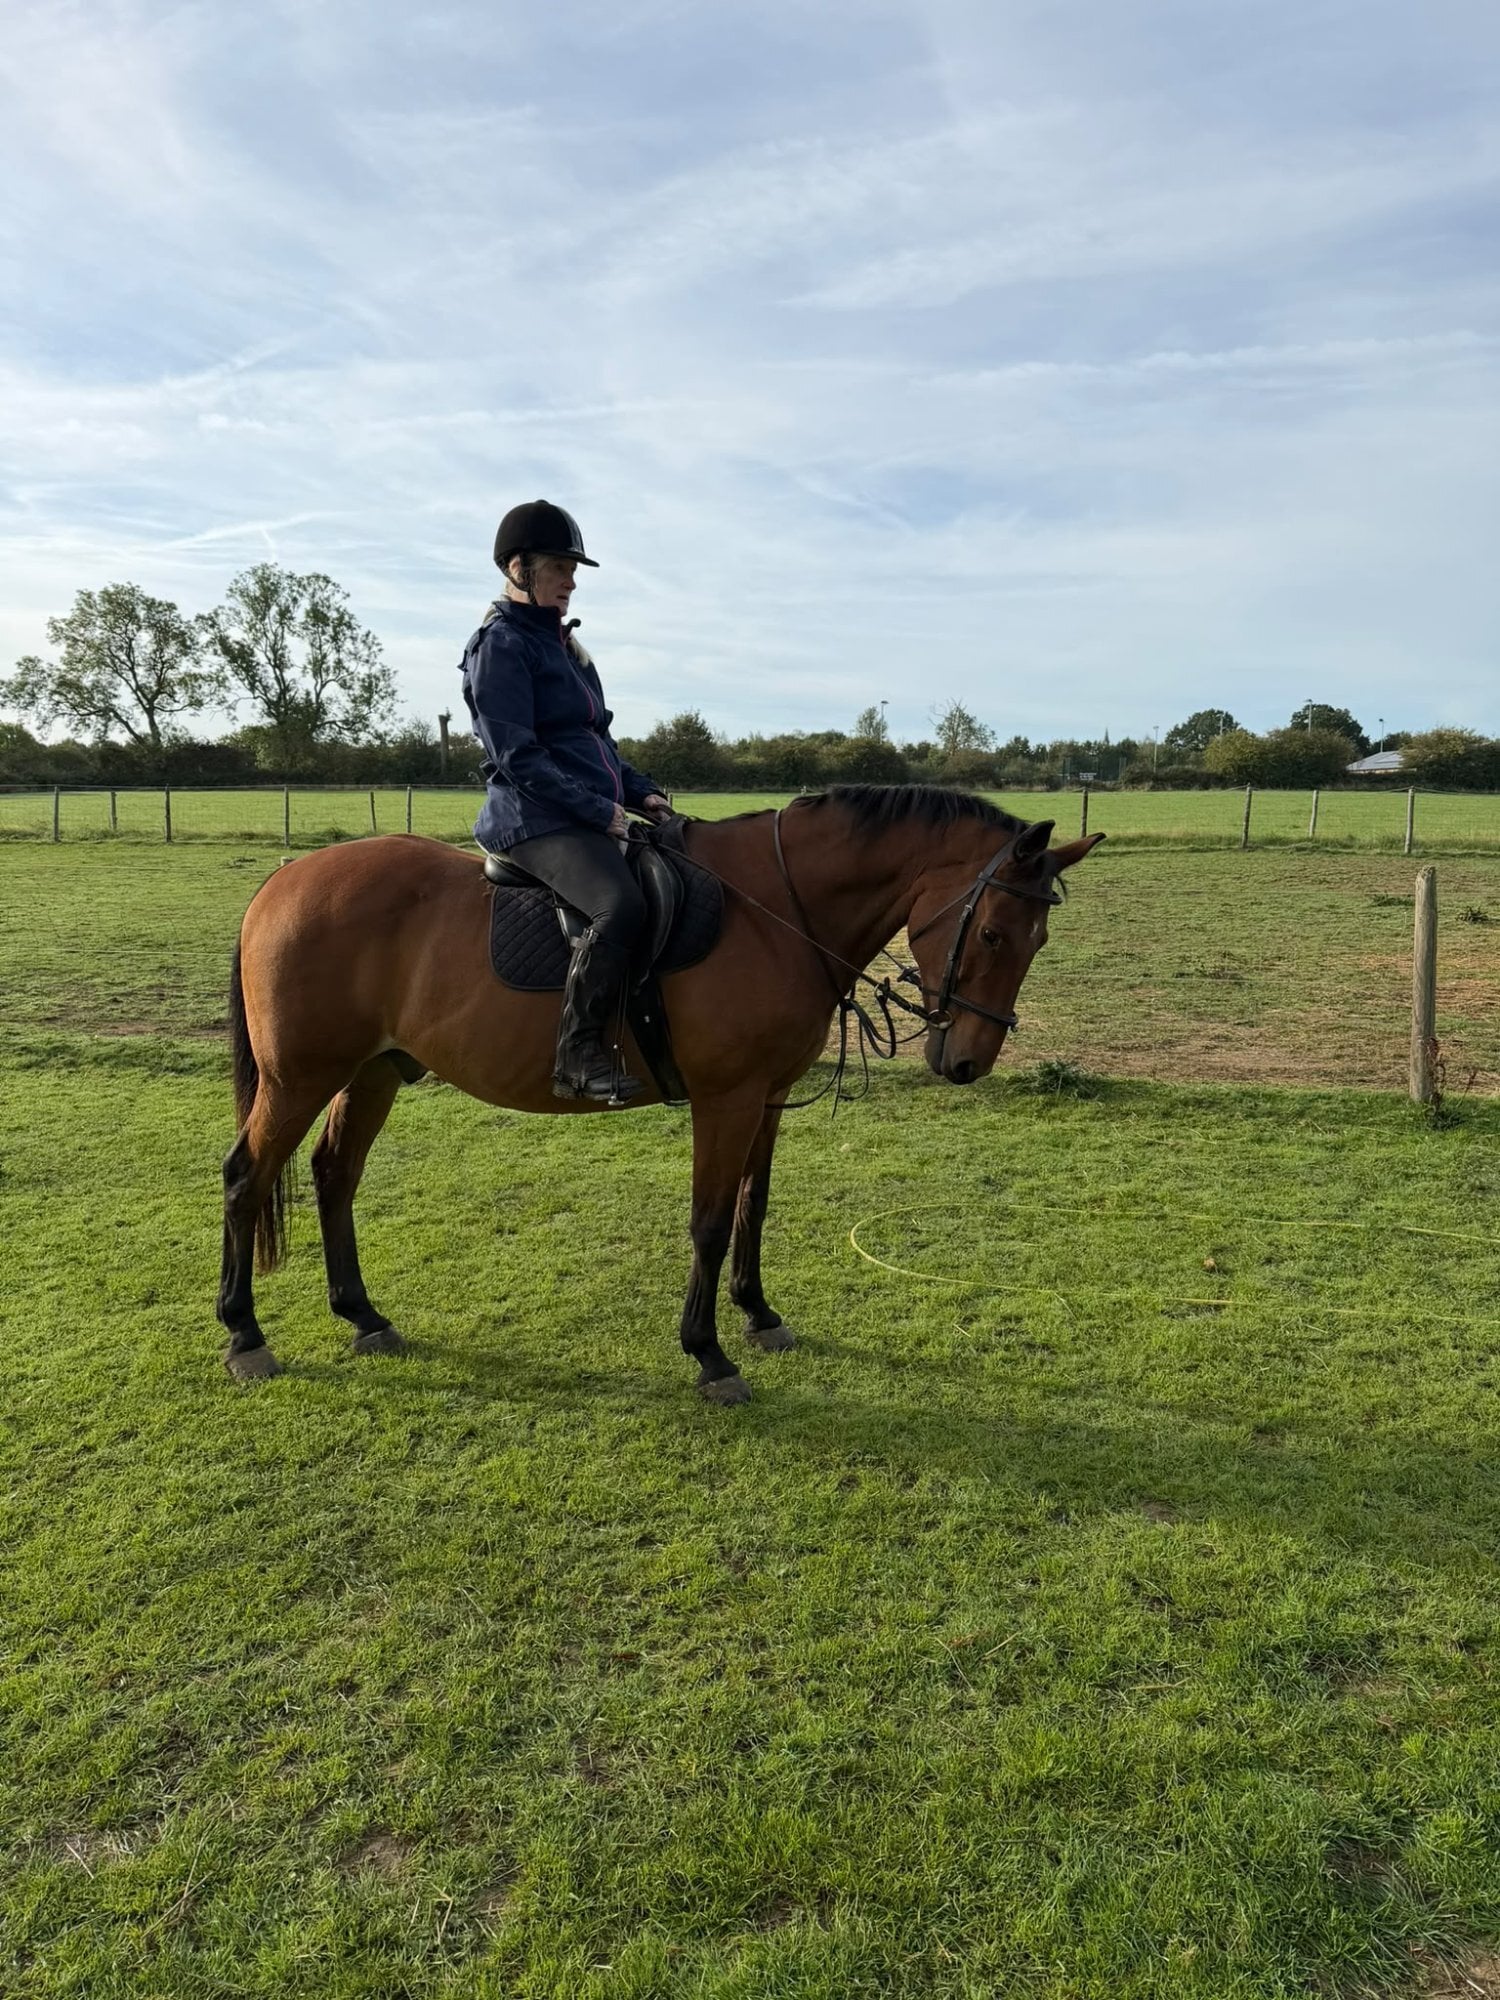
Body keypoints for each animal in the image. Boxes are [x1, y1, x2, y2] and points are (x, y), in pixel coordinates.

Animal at [218, 784, 1104, 1403]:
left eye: (1037, 939)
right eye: (991, 931)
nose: (968, 1063)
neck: (773, 909)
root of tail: (285, 880)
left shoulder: (768, 1098)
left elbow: (754, 1205)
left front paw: (758, 1314)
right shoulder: (727, 1099)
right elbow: (709, 1221)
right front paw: (708, 1354)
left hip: (370, 1072)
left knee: (334, 1175)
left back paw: (362, 1316)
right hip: (300, 1079)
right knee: (245, 1180)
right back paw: (244, 1335)